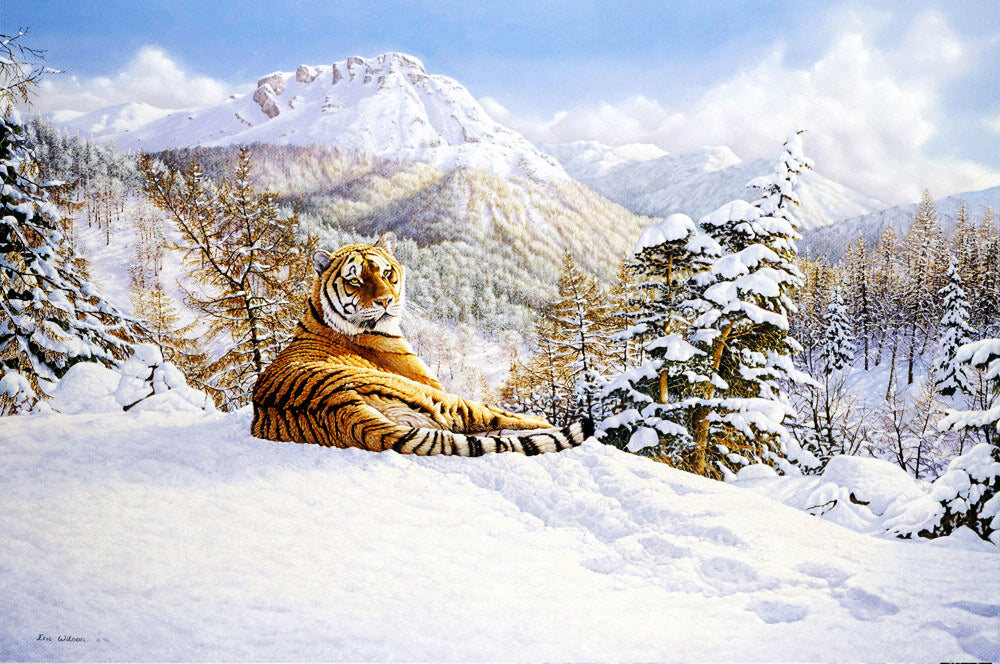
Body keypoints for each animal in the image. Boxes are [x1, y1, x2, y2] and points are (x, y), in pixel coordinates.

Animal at [251, 231, 593, 456]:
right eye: (355, 280)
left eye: (387, 272)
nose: (386, 301)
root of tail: (337, 408)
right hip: (442, 399)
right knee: (495, 418)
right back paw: (548, 422)